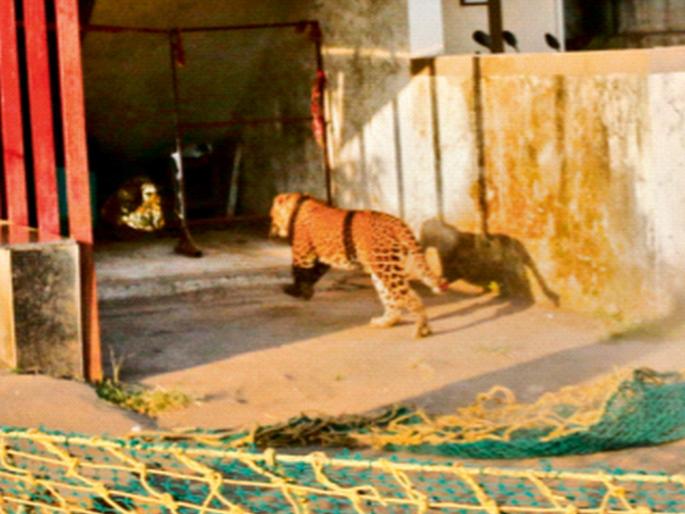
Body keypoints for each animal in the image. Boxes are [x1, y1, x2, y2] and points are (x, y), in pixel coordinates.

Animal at [269, 192, 449, 338]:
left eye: (272, 216)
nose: (270, 231)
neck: (298, 205)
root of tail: (396, 221)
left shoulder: (302, 256)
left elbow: (299, 273)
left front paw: (295, 291)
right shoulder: (320, 259)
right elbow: (312, 274)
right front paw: (306, 292)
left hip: (387, 268)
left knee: (410, 297)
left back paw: (421, 329)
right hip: (381, 269)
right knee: (391, 299)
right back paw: (385, 322)